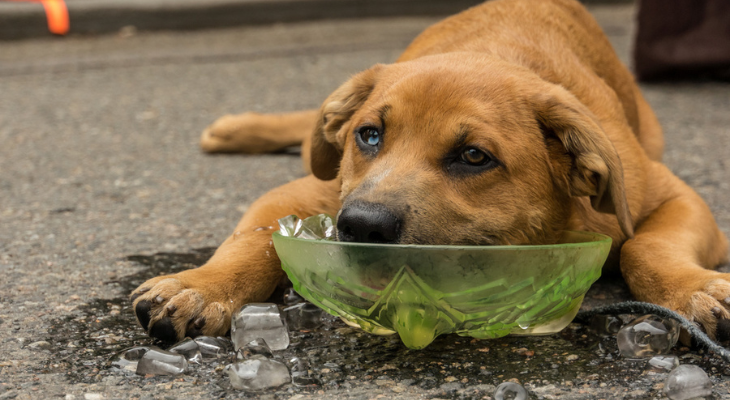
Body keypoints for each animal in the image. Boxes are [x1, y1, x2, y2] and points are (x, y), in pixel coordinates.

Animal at [132, 0, 728, 340]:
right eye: (368, 136)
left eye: (473, 157)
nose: (360, 226)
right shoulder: (312, 189)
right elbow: (252, 239)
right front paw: (200, 286)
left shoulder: (671, 195)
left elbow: (644, 246)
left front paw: (695, 290)